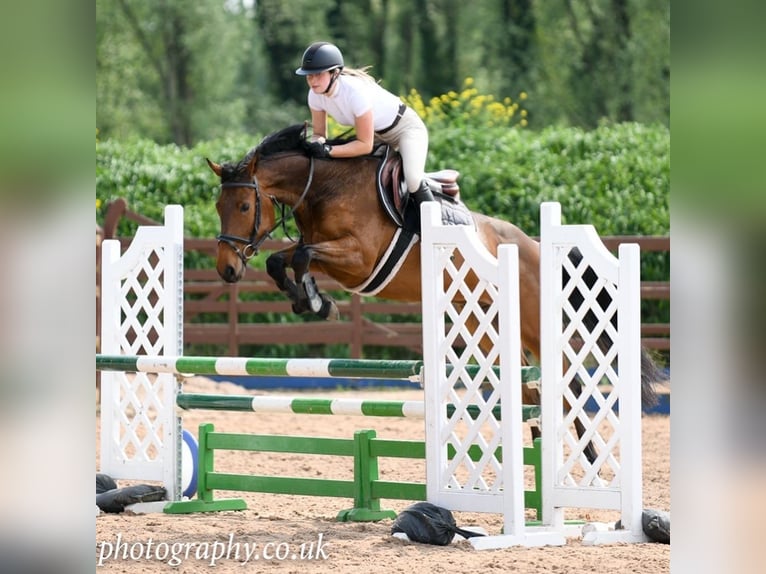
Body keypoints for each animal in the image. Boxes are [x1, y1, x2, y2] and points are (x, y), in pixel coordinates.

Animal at [207, 124, 664, 462]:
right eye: (217, 207)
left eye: (244, 207)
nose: (227, 269)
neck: (324, 188)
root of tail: (532, 245)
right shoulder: (329, 254)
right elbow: (281, 260)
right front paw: (311, 300)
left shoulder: (359, 259)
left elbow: (301, 256)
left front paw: (318, 302)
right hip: (487, 328)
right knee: (531, 391)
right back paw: (536, 453)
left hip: (534, 325)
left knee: (567, 385)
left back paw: (586, 457)